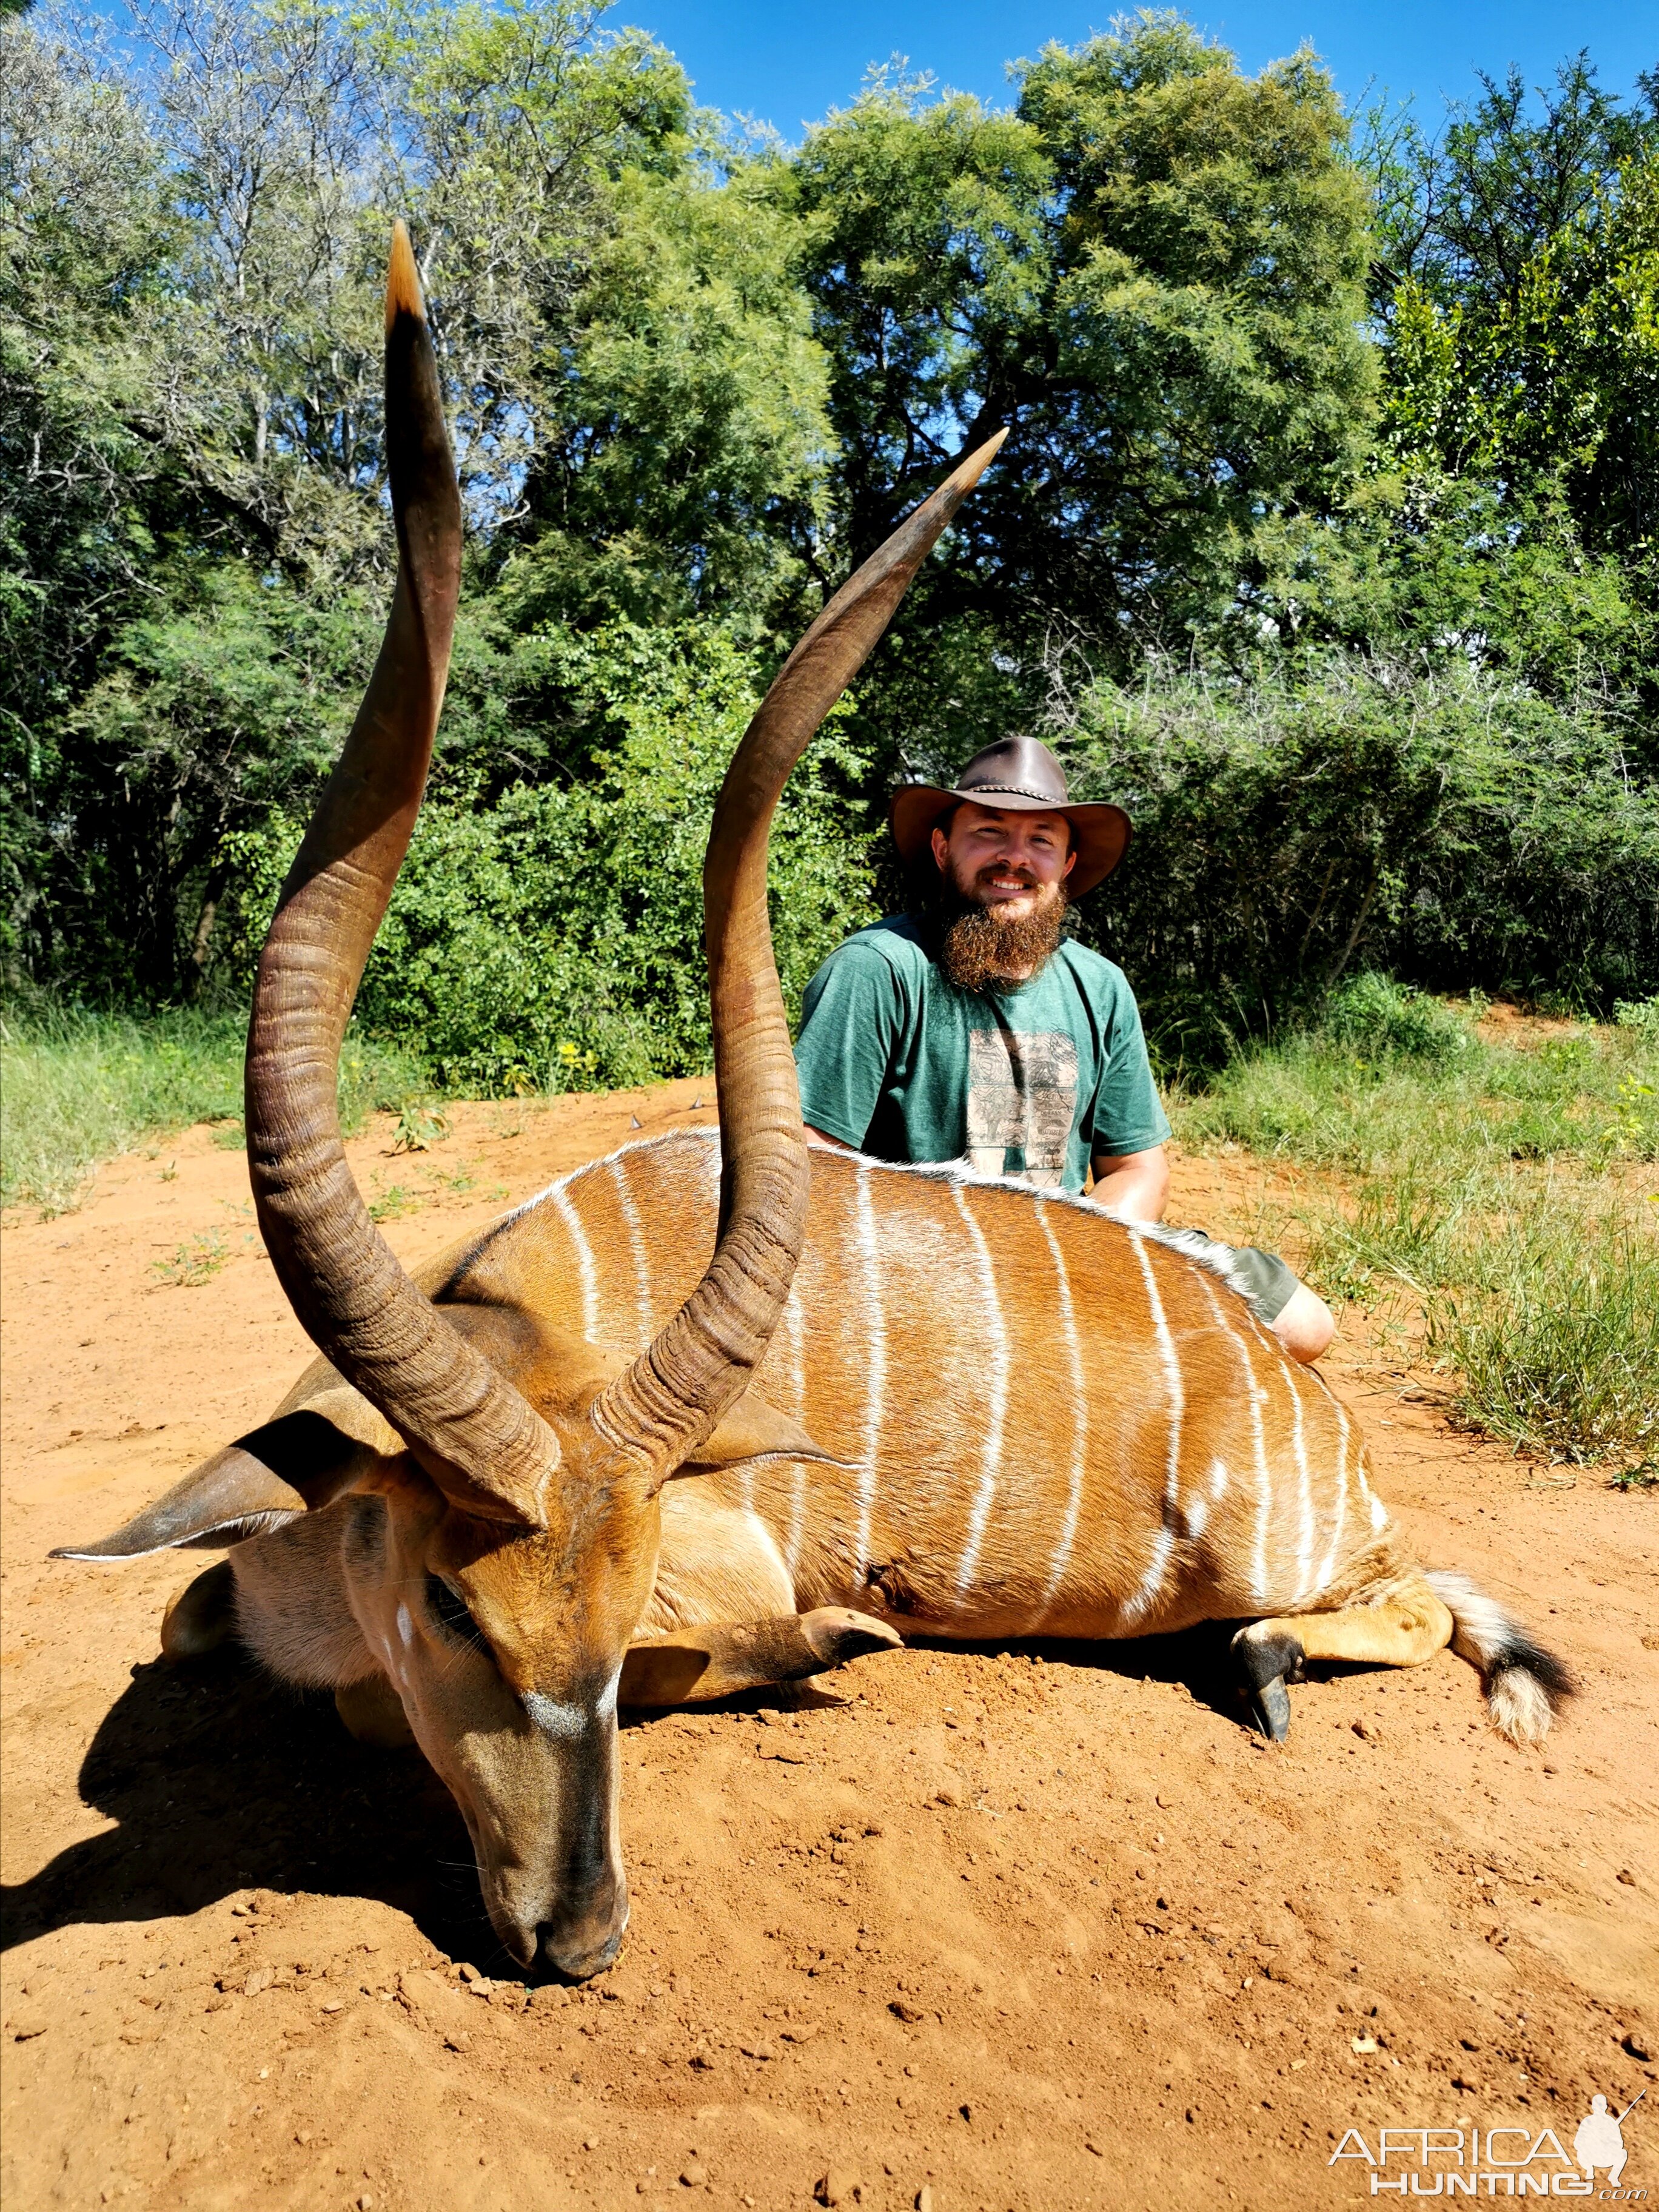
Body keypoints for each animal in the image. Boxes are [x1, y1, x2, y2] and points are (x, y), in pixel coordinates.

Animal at [58, 233, 1575, 1982]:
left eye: (620, 1592)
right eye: (451, 1601)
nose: (580, 1930)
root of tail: (1315, 1412)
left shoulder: (723, 1552)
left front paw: (833, 1635)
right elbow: (206, 1617)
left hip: (1303, 1542)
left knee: (1415, 1594)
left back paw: (1255, 1657)